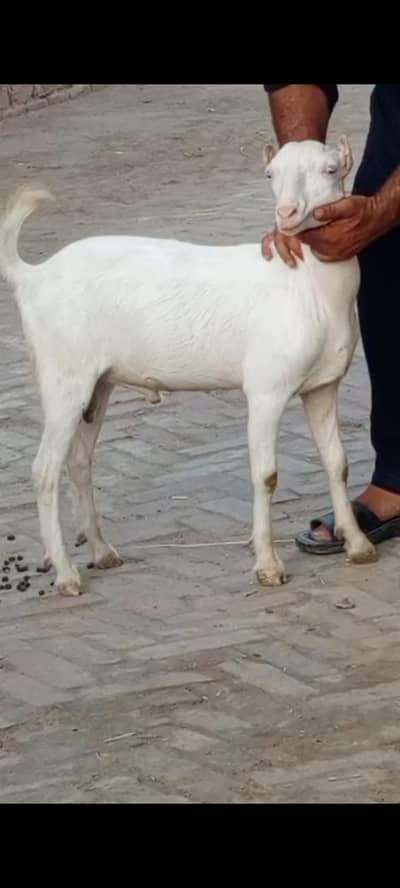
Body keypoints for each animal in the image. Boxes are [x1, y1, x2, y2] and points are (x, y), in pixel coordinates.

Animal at [0, 137, 377, 596]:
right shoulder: (266, 390)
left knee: (79, 462)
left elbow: (337, 463)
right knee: (44, 471)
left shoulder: (322, 387)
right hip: (62, 376)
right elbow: (266, 475)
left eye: (329, 170)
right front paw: (267, 565)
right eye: (271, 174)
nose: (286, 214)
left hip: (96, 383)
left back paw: (102, 553)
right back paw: (67, 573)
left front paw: (357, 544)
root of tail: (32, 277)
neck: (307, 284)